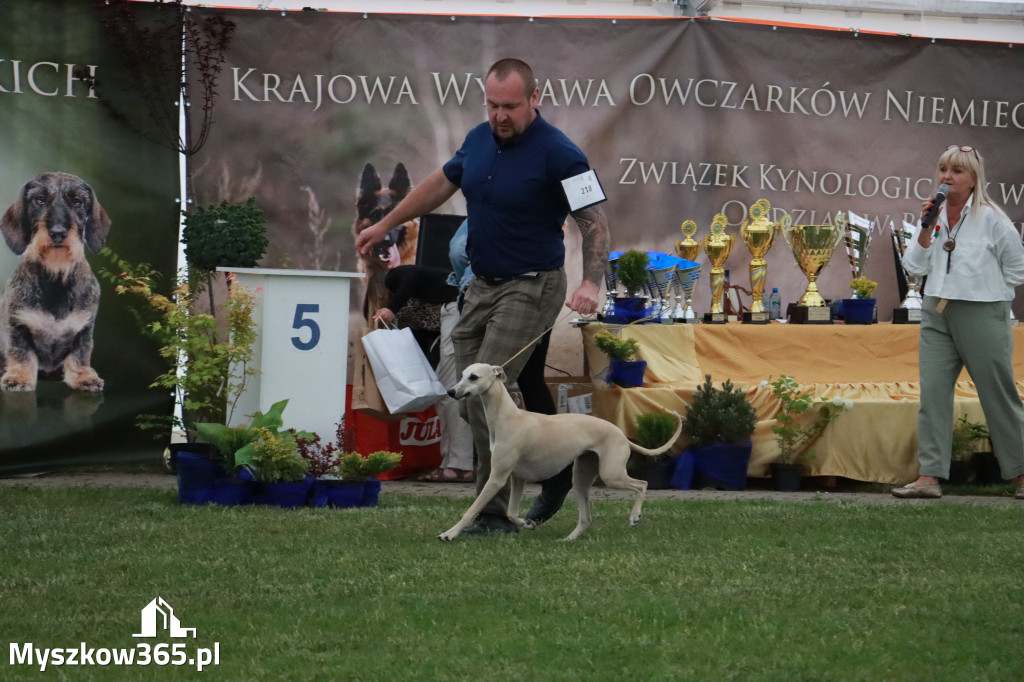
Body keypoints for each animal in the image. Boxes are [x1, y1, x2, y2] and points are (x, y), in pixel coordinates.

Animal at [440, 360, 679, 540]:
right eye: (462, 374)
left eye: (473, 377)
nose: (451, 391)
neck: (507, 417)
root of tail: (620, 434)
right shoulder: (517, 478)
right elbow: (510, 513)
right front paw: (527, 523)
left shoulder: (497, 477)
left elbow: (472, 510)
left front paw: (449, 533)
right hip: (582, 477)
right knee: (586, 518)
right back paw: (569, 539)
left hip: (611, 474)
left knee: (642, 484)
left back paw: (634, 516)